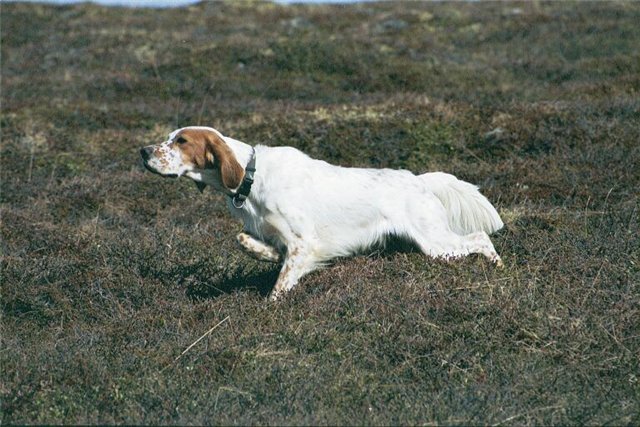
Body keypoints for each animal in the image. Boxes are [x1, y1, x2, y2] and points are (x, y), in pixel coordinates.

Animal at [141, 127, 504, 300]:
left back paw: (498, 267)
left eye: (181, 141)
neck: (251, 175)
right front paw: (262, 252)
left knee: (480, 238)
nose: (142, 151)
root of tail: (419, 178)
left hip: (436, 244)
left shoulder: (304, 243)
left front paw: (270, 308)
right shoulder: (273, 234)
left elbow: (281, 284)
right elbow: (245, 239)